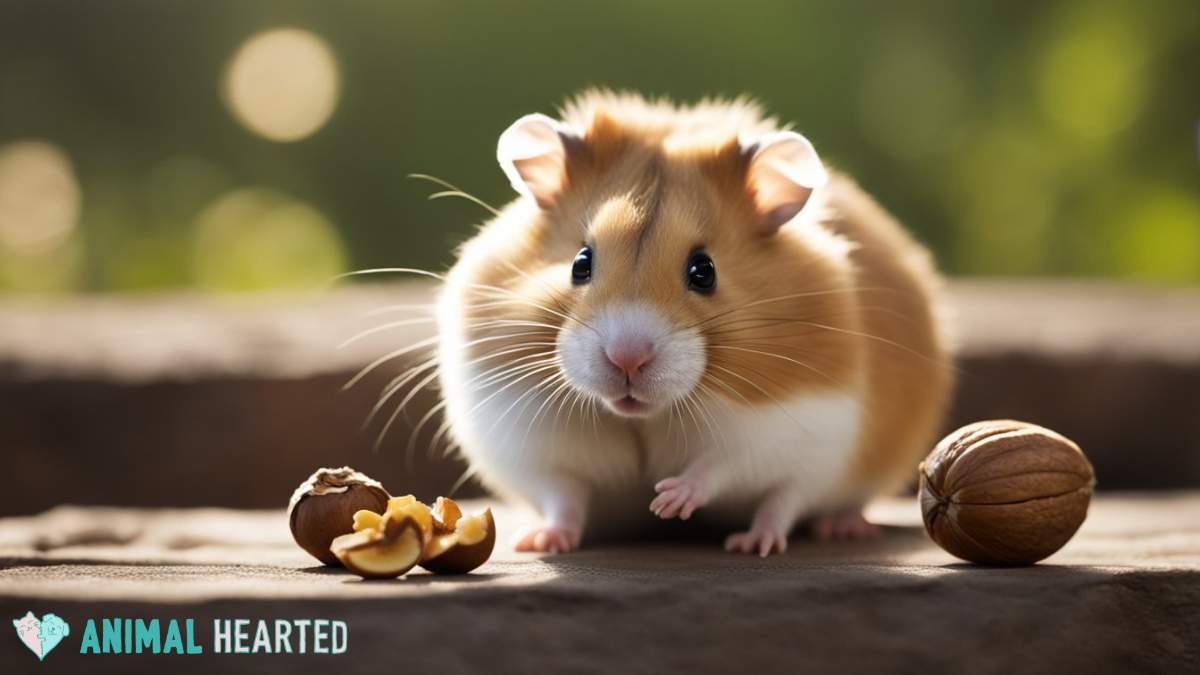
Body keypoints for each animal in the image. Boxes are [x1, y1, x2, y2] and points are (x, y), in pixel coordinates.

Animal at [436, 90, 950, 552]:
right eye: (581, 262)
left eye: (704, 271)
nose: (627, 360)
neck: (646, 416)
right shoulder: (534, 445)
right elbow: (564, 495)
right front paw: (541, 543)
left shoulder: (784, 428)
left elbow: (718, 468)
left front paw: (667, 500)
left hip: (824, 466)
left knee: (786, 503)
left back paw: (775, 540)